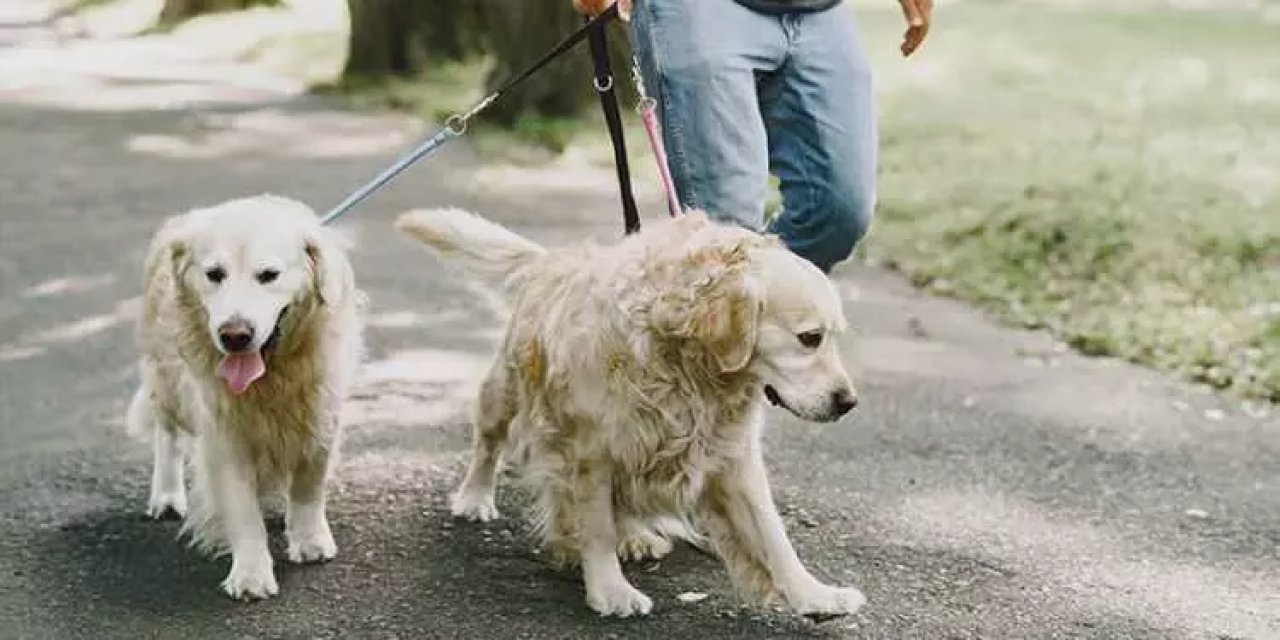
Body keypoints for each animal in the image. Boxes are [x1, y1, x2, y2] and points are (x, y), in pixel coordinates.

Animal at [123, 193, 366, 599]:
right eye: (214, 274)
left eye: (268, 275)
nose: (234, 335)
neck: (273, 378)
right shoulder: (223, 437)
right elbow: (243, 511)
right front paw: (251, 574)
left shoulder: (320, 416)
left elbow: (308, 486)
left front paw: (310, 539)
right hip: (167, 381)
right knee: (166, 434)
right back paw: (167, 496)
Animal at [394, 209, 865, 619]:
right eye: (810, 338)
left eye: (832, 336)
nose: (847, 402)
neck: (685, 366)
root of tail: (553, 261)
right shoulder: (591, 451)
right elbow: (597, 526)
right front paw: (611, 590)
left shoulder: (733, 455)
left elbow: (773, 534)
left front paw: (815, 594)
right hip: (505, 391)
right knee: (488, 441)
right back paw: (475, 497)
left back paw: (637, 537)